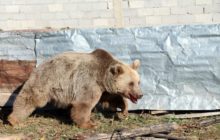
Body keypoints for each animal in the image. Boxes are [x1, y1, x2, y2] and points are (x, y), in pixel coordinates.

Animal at [7, 48, 143, 129]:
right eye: (131, 83)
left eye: (138, 82)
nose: (140, 94)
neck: (102, 75)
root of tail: (38, 65)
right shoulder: (88, 81)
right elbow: (84, 104)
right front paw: (89, 123)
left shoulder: (103, 88)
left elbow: (111, 98)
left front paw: (124, 109)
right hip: (46, 80)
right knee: (29, 98)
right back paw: (14, 120)